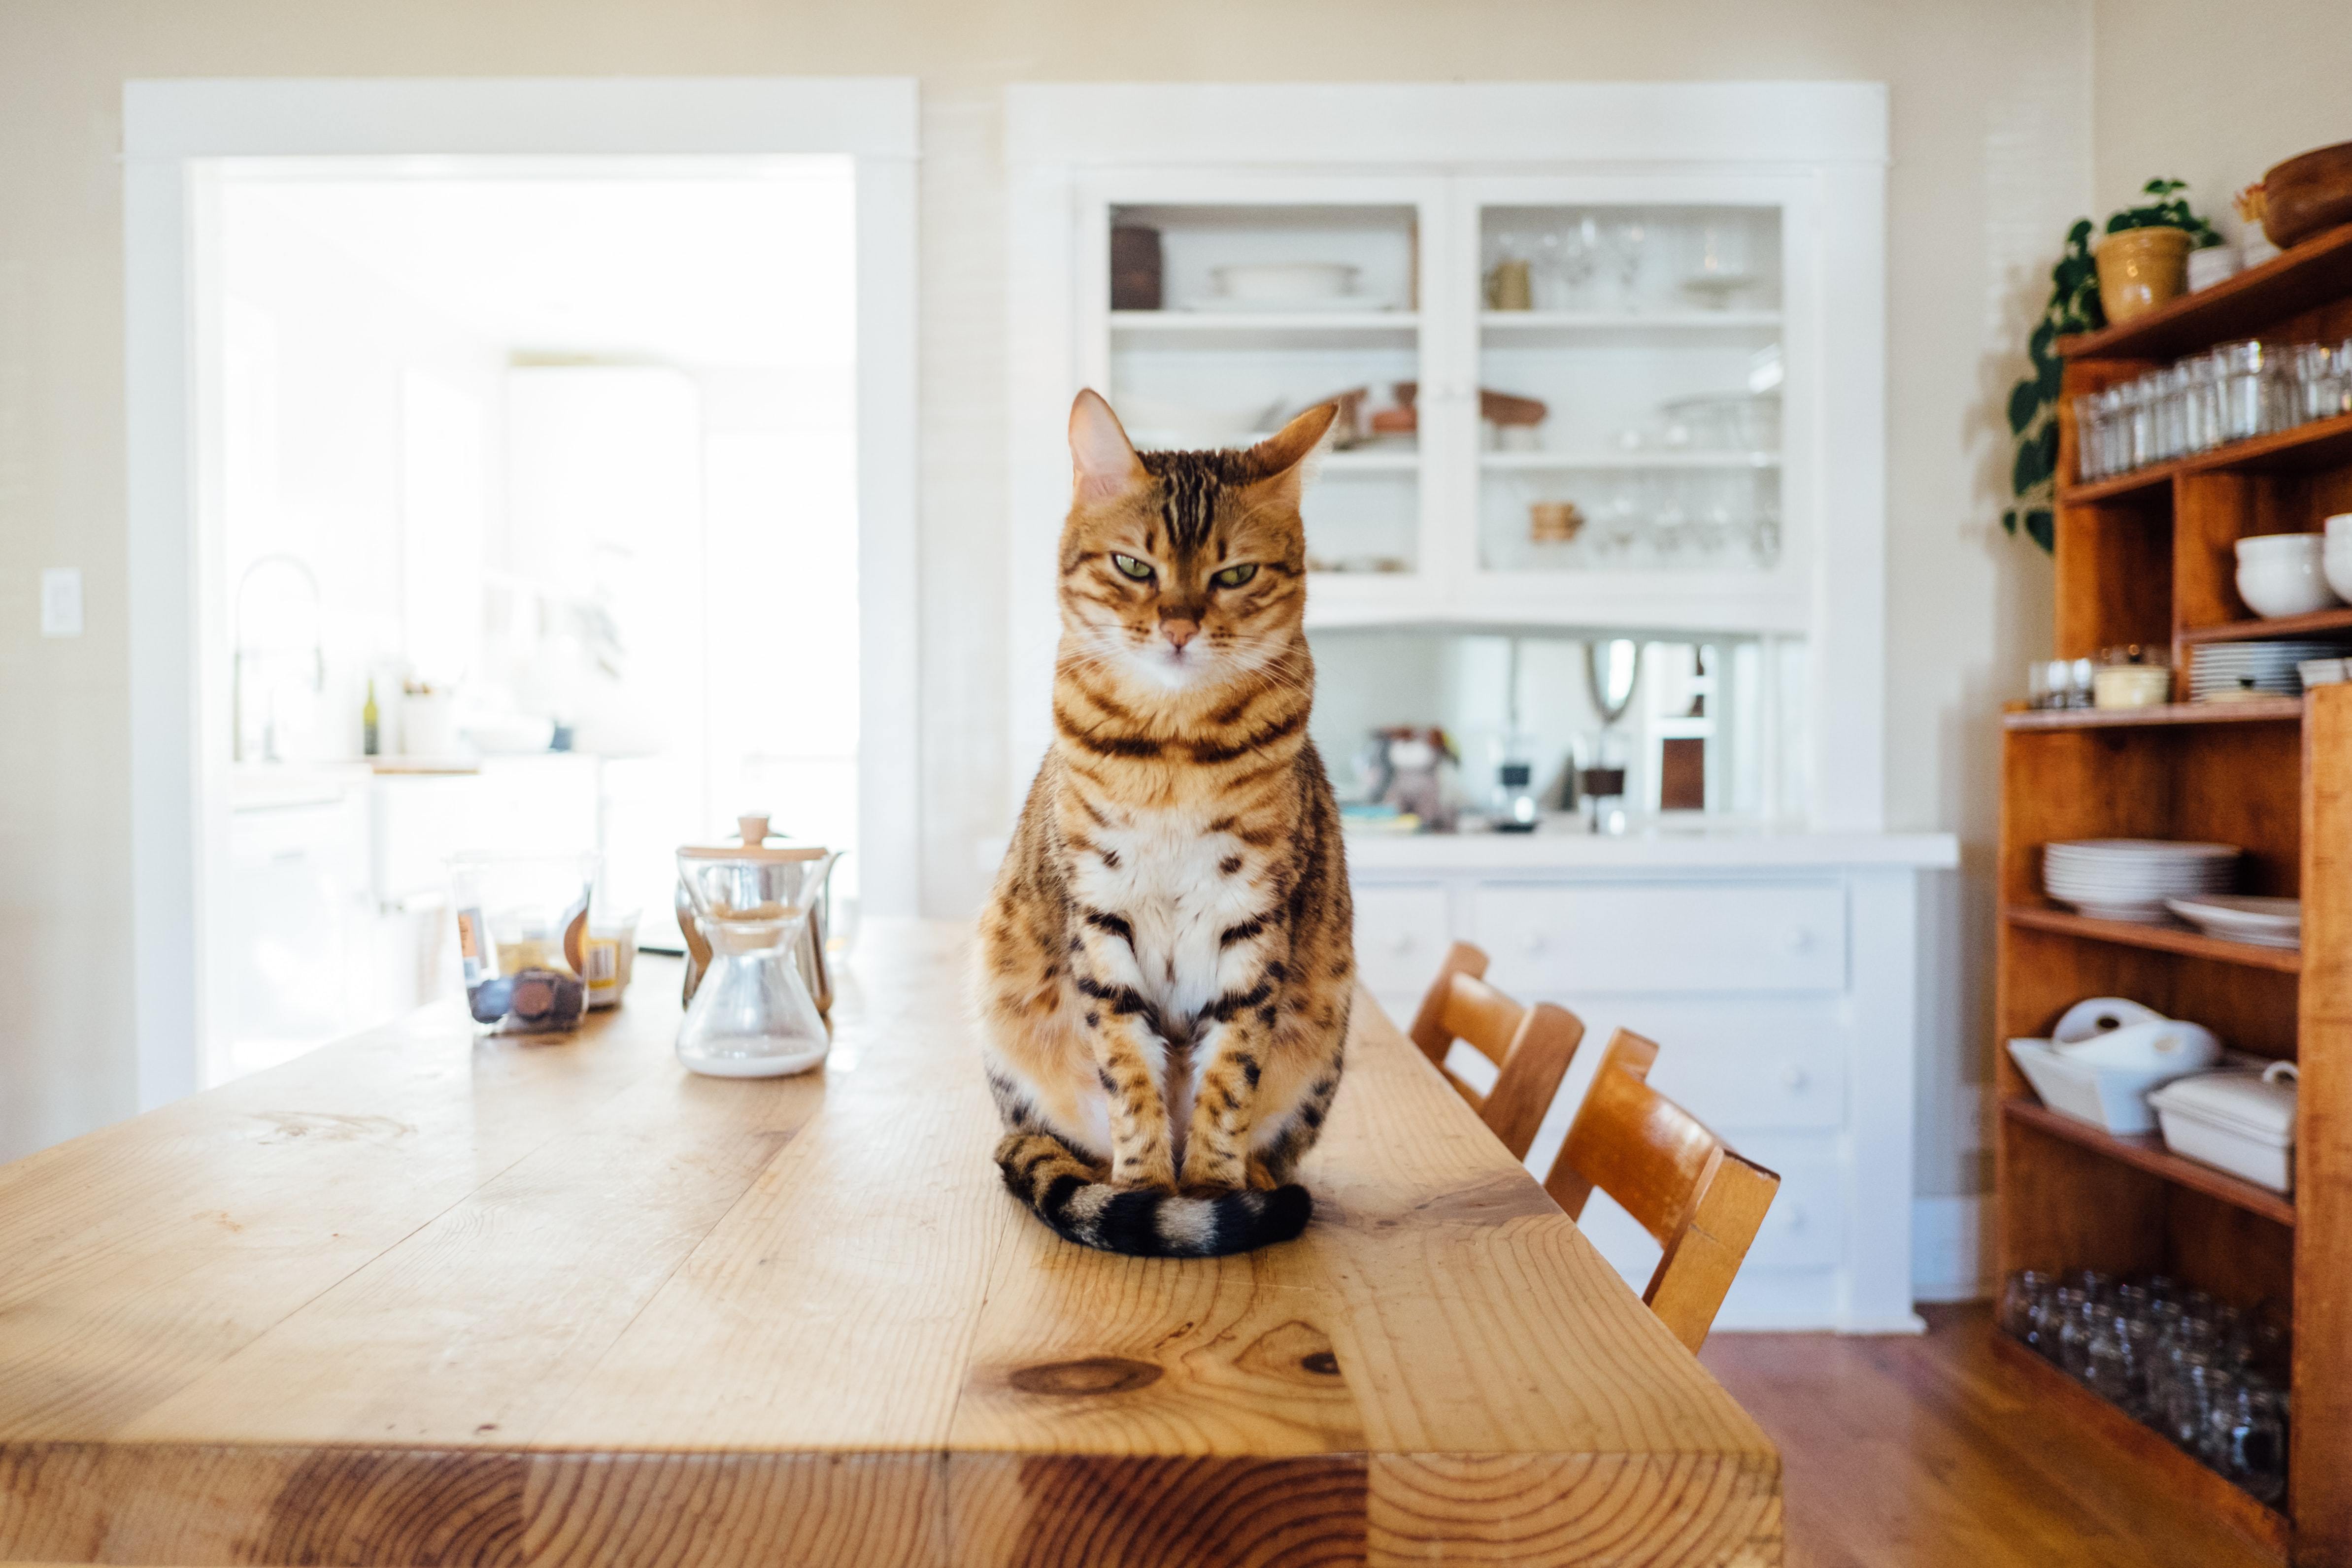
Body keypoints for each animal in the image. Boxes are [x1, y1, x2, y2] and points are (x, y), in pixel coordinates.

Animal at [978, 392, 1364, 1260]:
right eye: (1133, 566)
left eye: (1234, 574)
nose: (1179, 626)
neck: (1174, 749)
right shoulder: (1100, 910)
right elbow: (1127, 1069)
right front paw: (1147, 1187)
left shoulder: (1253, 916)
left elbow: (1230, 1074)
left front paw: (1213, 1189)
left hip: (1324, 1032)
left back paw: (1255, 1181)